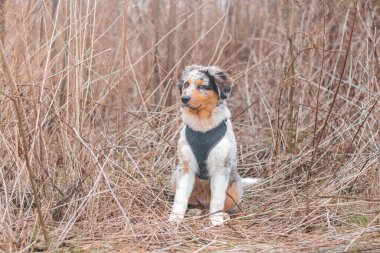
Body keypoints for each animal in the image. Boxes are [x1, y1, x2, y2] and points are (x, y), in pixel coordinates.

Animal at [169, 64, 258, 225]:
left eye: (202, 86)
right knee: (195, 203)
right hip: (175, 176)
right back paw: (195, 212)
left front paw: (216, 221)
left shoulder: (220, 166)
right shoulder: (186, 166)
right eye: (186, 84)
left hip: (235, 188)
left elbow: (217, 199)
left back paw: (223, 215)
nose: (184, 98)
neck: (202, 127)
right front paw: (175, 217)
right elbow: (181, 196)